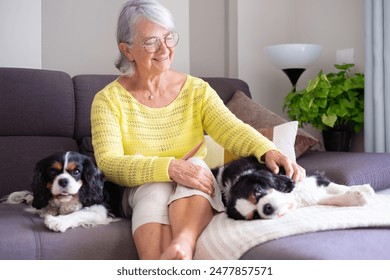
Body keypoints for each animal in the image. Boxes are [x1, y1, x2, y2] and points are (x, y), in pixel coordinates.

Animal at [213, 156, 374, 220]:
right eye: (256, 216)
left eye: (257, 192)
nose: (266, 208)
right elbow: (329, 198)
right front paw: (356, 198)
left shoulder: (304, 179)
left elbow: (337, 187)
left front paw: (365, 189)